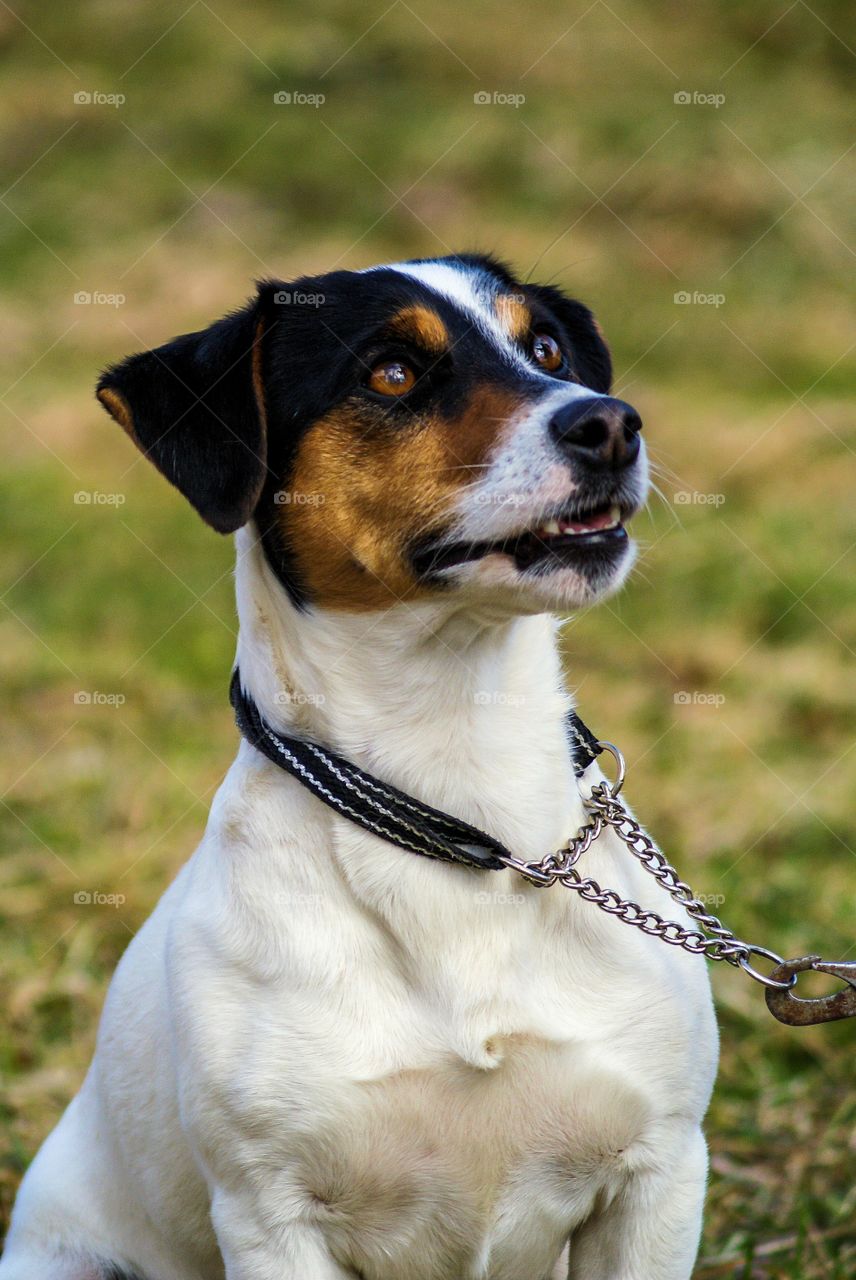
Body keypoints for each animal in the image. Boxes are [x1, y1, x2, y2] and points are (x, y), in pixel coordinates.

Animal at [3, 254, 716, 1274]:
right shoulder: (269, 1217)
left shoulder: (660, 1173)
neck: (462, 811)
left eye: (545, 349)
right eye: (391, 373)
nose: (611, 423)